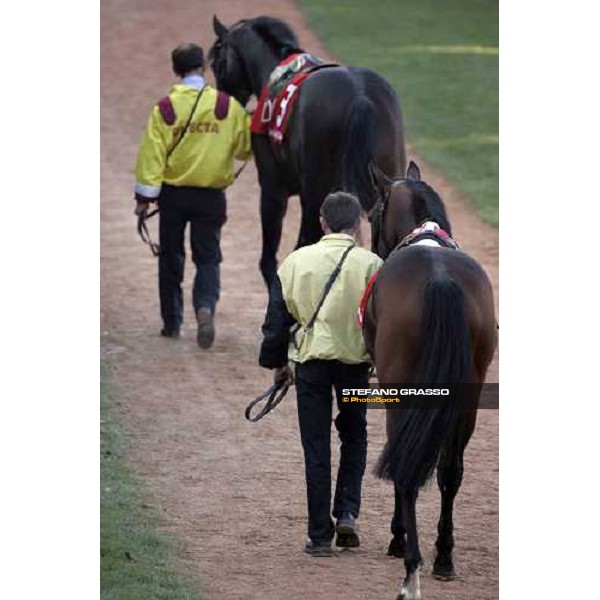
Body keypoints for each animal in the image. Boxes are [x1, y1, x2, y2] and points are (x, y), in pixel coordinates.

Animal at [209, 13, 406, 286]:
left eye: (216, 62)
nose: (223, 100)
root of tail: (360, 97)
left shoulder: (272, 188)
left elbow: (269, 259)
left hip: (315, 195)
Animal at [364, 161, 500, 600]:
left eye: (373, 213)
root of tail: (440, 280)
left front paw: (397, 539)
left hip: (402, 391)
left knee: (406, 466)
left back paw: (411, 567)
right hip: (467, 399)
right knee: (450, 471)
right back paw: (442, 558)